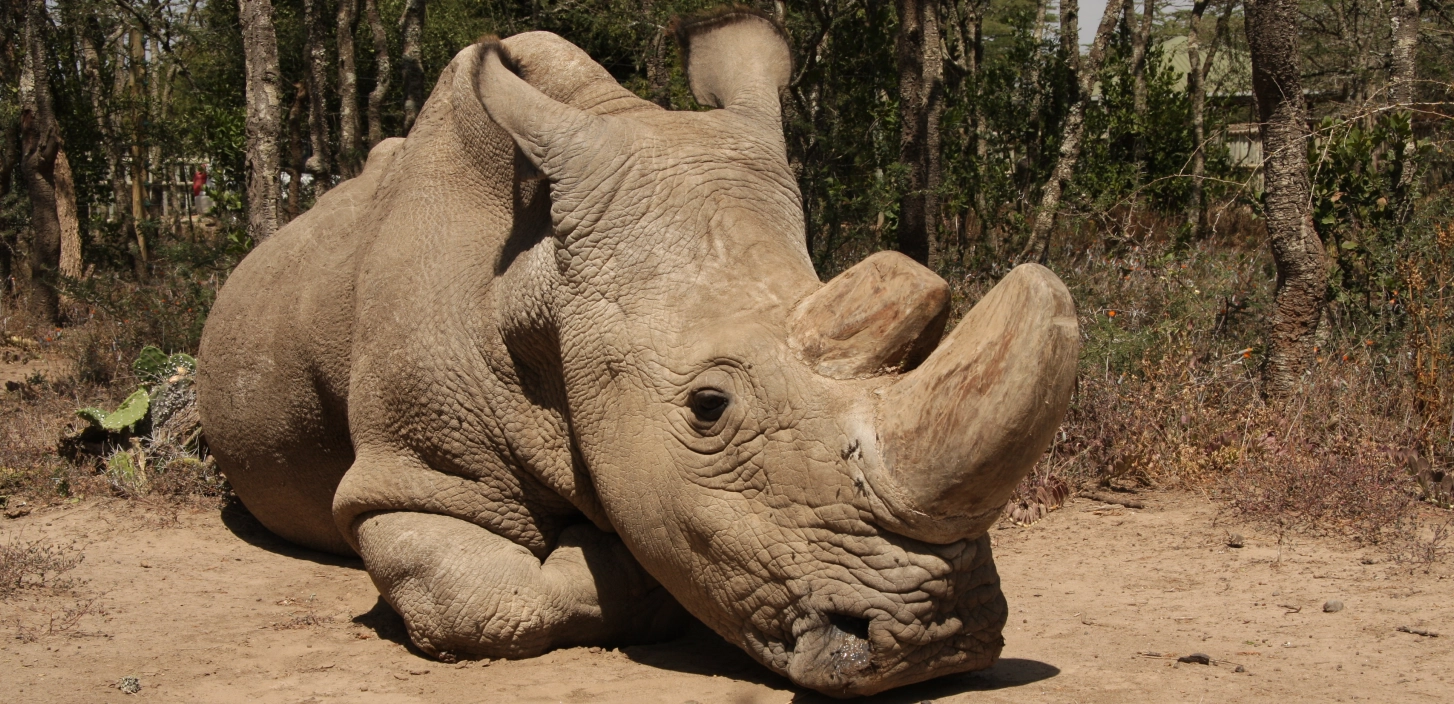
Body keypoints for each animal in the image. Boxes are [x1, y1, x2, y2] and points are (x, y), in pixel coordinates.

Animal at [197, 9, 1079, 697]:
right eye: (708, 407)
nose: (941, 641)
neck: (540, 290)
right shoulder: (413, 476)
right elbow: (480, 601)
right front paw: (606, 558)